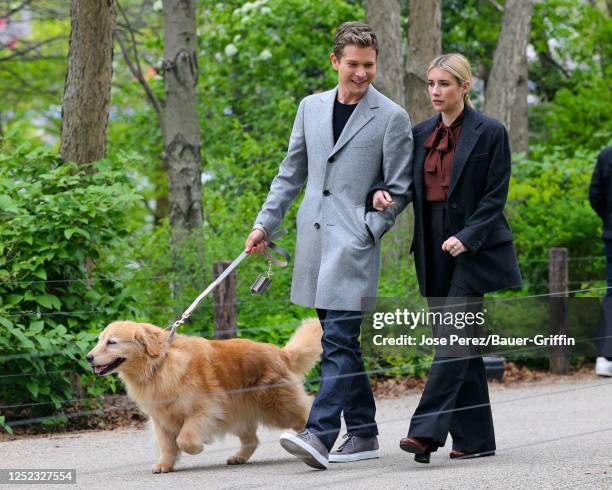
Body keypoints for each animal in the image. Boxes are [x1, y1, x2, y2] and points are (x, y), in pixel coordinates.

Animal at [87, 320, 326, 472]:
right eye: (100, 340)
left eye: (111, 342)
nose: (89, 357)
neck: (160, 363)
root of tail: (281, 353)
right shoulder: (161, 418)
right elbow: (167, 445)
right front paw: (165, 465)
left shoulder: (204, 410)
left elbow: (184, 438)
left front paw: (197, 447)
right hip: (240, 411)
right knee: (252, 440)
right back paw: (238, 458)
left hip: (279, 408)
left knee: (304, 415)